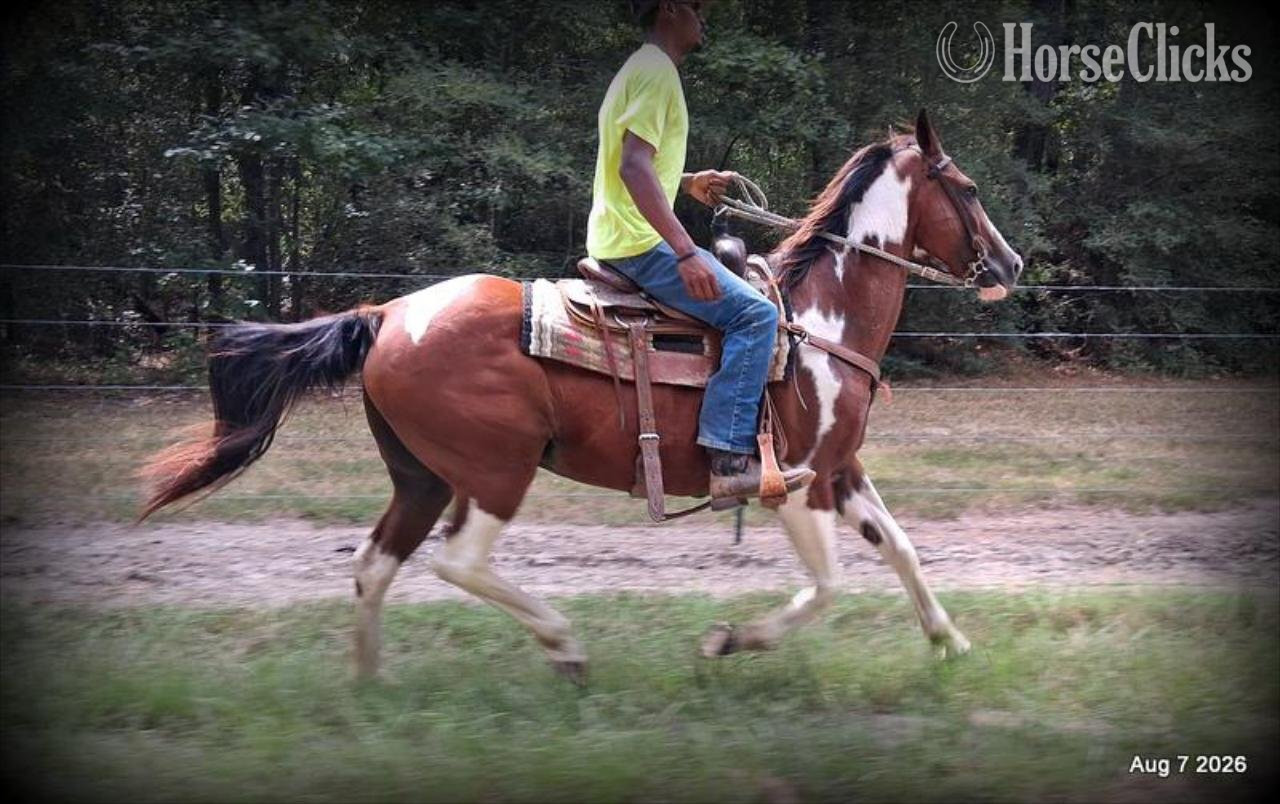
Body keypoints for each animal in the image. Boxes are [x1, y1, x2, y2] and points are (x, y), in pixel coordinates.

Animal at [141, 109, 1023, 681]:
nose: (1011, 265)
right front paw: (729, 642)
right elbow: (830, 584)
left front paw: (950, 643)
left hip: (421, 477)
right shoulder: (798, 483)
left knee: (373, 565)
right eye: (972, 187)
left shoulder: (841, 470)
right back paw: (563, 645)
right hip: (494, 472)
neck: (816, 320)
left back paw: (369, 683)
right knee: (456, 561)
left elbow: (901, 548)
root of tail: (387, 313)